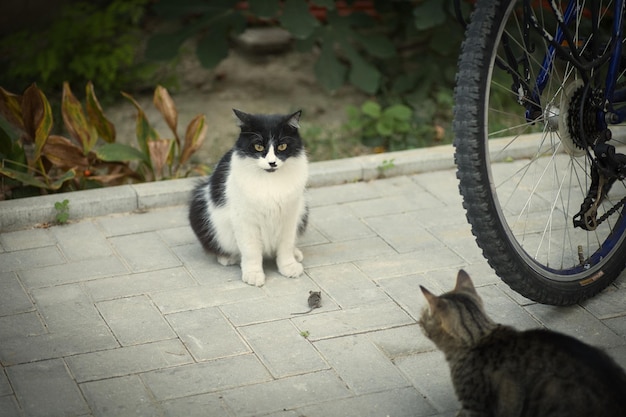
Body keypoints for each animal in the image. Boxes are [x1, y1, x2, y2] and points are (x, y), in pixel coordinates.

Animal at [189, 109, 308, 286]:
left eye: (282, 146)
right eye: (258, 146)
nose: (272, 163)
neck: (270, 181)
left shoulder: (290, 216)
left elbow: (286, 244)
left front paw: (288, 266)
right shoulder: (244, 220)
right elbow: (251, 250)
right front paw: (253, 273)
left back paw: (296, 253)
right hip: (198, 206)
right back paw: (227, 257)